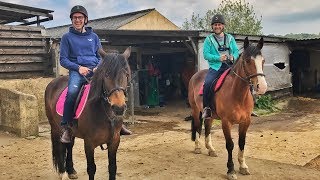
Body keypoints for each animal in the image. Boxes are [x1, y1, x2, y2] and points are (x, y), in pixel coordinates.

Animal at [45, 47, 131, 179]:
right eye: (106, 74)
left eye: (126, 74)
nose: (119, 108)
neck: (104, 112)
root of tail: (53, 82)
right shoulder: (89, 143)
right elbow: (91, 169)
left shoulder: (114, 141)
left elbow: (112, 168)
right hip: (55, 128)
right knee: (60, 147)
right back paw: (63, 172)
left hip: (71, 131)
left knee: (69, 145)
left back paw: (71, 171)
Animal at [188, 37, 268, 179]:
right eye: (248, 61)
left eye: (263, 61)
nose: (262, 87)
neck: (237, 94)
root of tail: (195, 76)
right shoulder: (226, 122)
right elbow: (230, 145)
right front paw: (231, 170)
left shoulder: (245, 122)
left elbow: (241, 142)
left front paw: (243, 166)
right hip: (195, 110)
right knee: (197, 126)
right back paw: (197, 147)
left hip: (209, 115)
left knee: (207, 128)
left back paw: (211, 149)